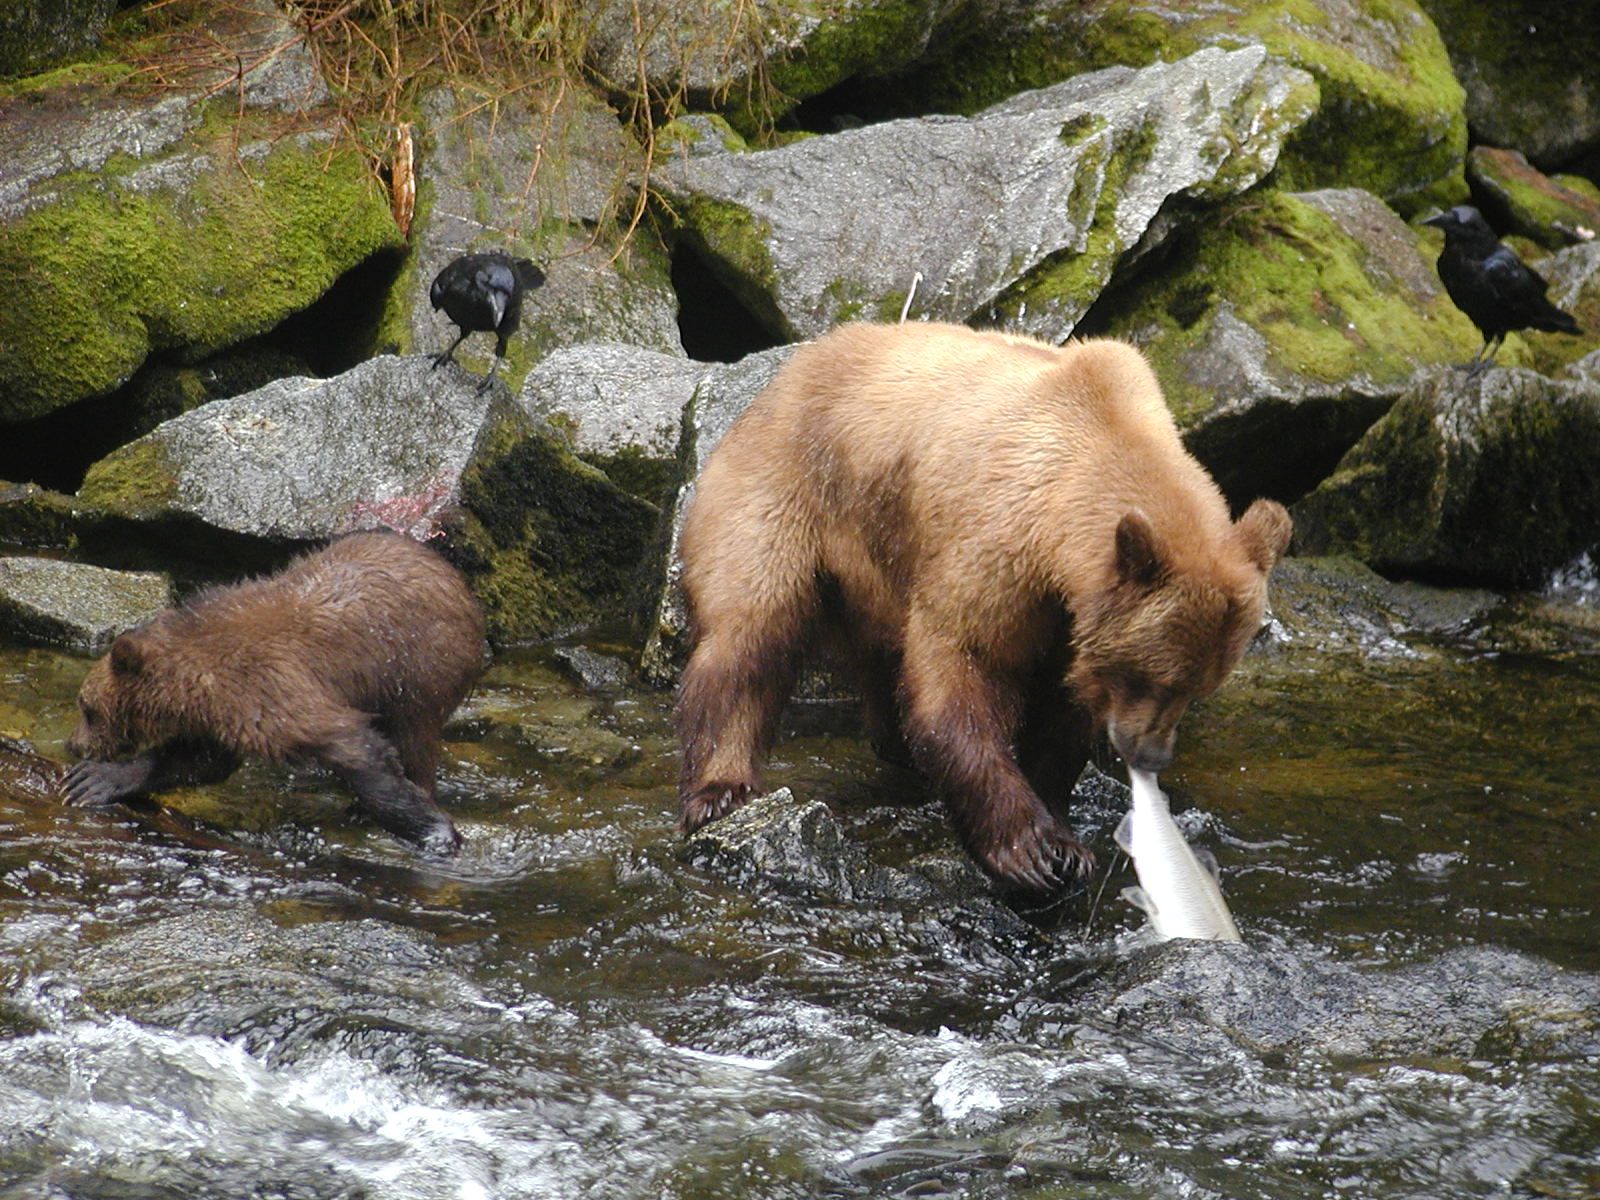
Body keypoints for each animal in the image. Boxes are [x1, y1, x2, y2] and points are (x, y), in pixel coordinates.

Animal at [64, 531, 486, 855]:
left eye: (87, 708)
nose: (73, 744)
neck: (194, 679)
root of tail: (455, 578)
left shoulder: (270, 689)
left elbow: (352, 746)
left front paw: (435, 832)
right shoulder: (223, 714)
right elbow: (197, 761)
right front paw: (94, 779)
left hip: (419, 671)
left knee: (415, 736)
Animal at [675, 321, 1291, 893]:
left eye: (1198, 688)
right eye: (1151, 676)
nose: (1152, 755)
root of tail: (785, 371)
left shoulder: (1066, 616)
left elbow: (1059, 716)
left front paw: (1066, 838)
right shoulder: (998, 546)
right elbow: (961, 669)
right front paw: (1030, 850)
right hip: (784, 492)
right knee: (750, 633)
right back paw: (720, 788)